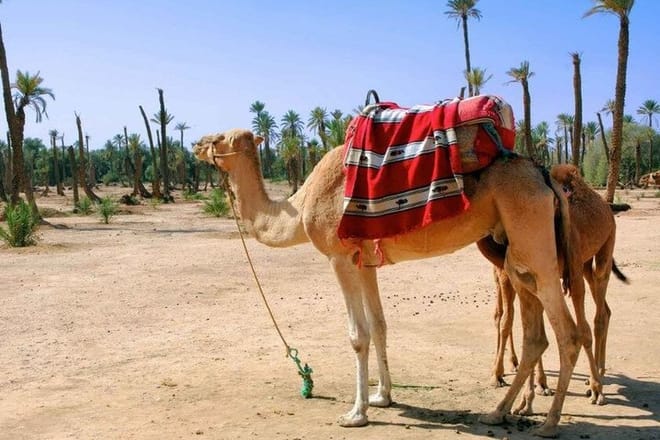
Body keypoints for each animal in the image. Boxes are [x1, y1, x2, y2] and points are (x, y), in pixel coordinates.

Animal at [194, 127, 582, 438]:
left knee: (569, 333)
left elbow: (358, 335)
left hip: (533, 238)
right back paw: (499, 412)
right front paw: (383, 396)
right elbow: (379, 325)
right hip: (515, 253)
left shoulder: (339, 257)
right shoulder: (365, 262)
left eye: (219, 137)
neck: (300, 207)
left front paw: (356, 413)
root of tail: (544, 175)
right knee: (536, 335)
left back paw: (549, 423)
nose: (197, 144)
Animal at [479, 163, 627, 406]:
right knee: (603, 309)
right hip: (584, 264)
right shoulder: (517, 275)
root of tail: (606, 207)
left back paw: (596, 381)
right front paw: (528, 389)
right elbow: (514, 322)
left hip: (604, 249)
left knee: (599, 315)